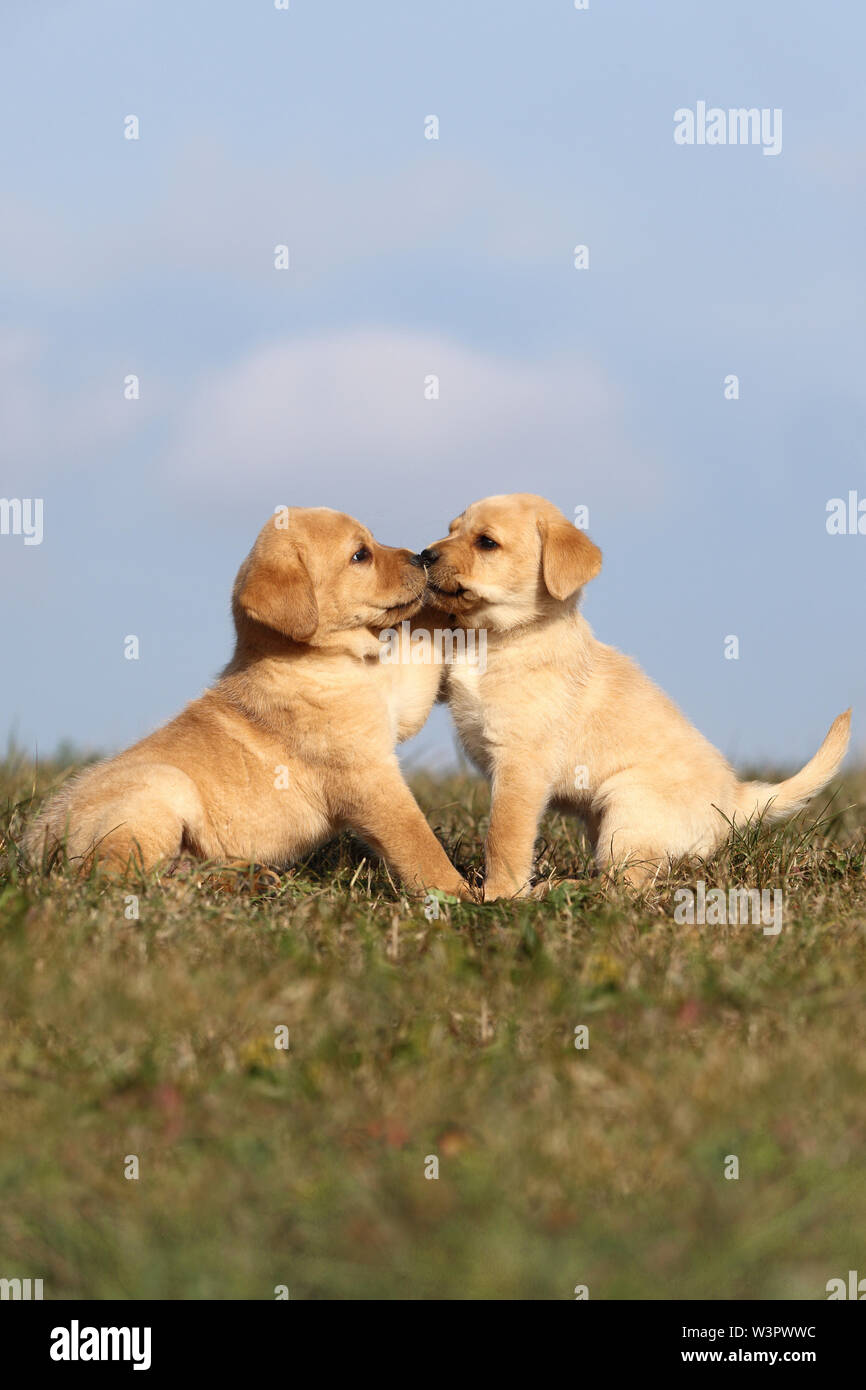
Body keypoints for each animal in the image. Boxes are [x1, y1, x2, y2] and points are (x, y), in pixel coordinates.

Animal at [27, 505, 469, 895]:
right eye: (361, 554)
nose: (421, 557)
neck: (319, 660)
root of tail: (37, 842)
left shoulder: (399, 701)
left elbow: (423, 644)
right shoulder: (369, 777)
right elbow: (416, 842)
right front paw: (460, 894)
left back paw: (246, 880)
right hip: (159, 791)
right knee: (113, 877)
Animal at [419, 494, 856, 895]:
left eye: (486, 542)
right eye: (450, 529)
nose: (424, 555)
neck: (496, 636)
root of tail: (735, 799)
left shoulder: (520, 764)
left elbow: (504, 837)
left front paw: (499, 896)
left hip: (627, 806)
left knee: (624, 883)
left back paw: (560, 888)